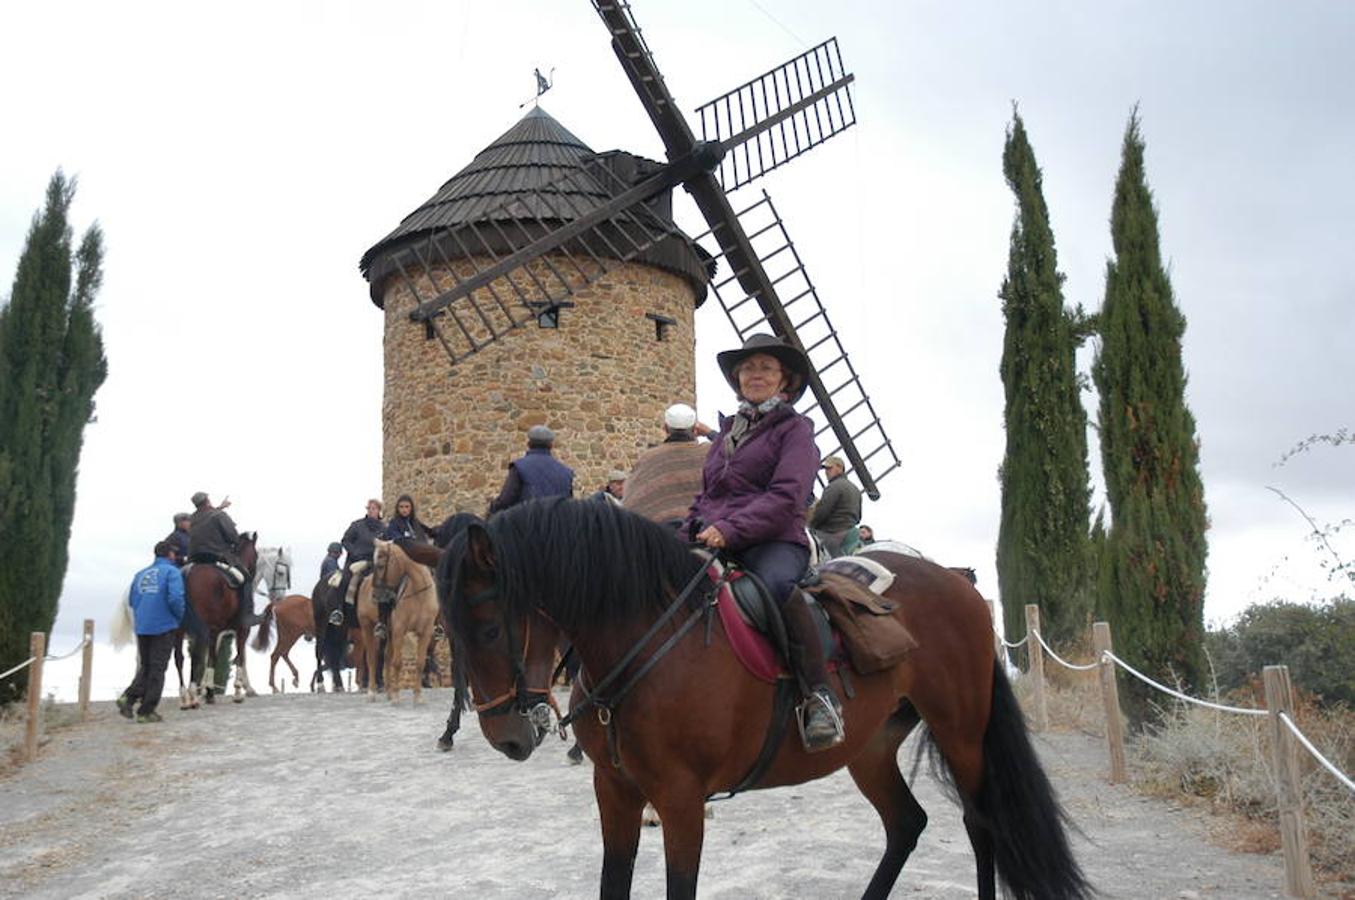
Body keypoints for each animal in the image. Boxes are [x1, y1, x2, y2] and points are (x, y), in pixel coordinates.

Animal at [182, 534, 258, 704]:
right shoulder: (242, 629)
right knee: (196, 655)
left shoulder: (219, 632)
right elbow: (240, 656)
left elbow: (213, 656)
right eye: (257, 556)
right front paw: (238, 690)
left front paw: (205, 689)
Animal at [357, 536, 441, 704]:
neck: (418, 592)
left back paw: (388, 693)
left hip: (389, 633)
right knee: (372, 658)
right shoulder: (400, 630)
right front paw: (396, 696)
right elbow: (397, 663)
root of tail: (364, 582)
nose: (375, 595)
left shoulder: (425, 633)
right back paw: (372, 693)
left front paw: (417, 697)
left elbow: (420, 663)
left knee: (387, 657)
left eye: (381, 566)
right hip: (367, 626)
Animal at [439, 498, 1094, 900]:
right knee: (907, 823)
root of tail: (957, 583)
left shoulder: (680, 800)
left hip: (961, 732)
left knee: (981, 825)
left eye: (491, 629)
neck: (649, 639)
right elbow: (612, 884)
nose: (507, 738)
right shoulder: (616, 792)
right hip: (871, 748)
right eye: (452, 632)